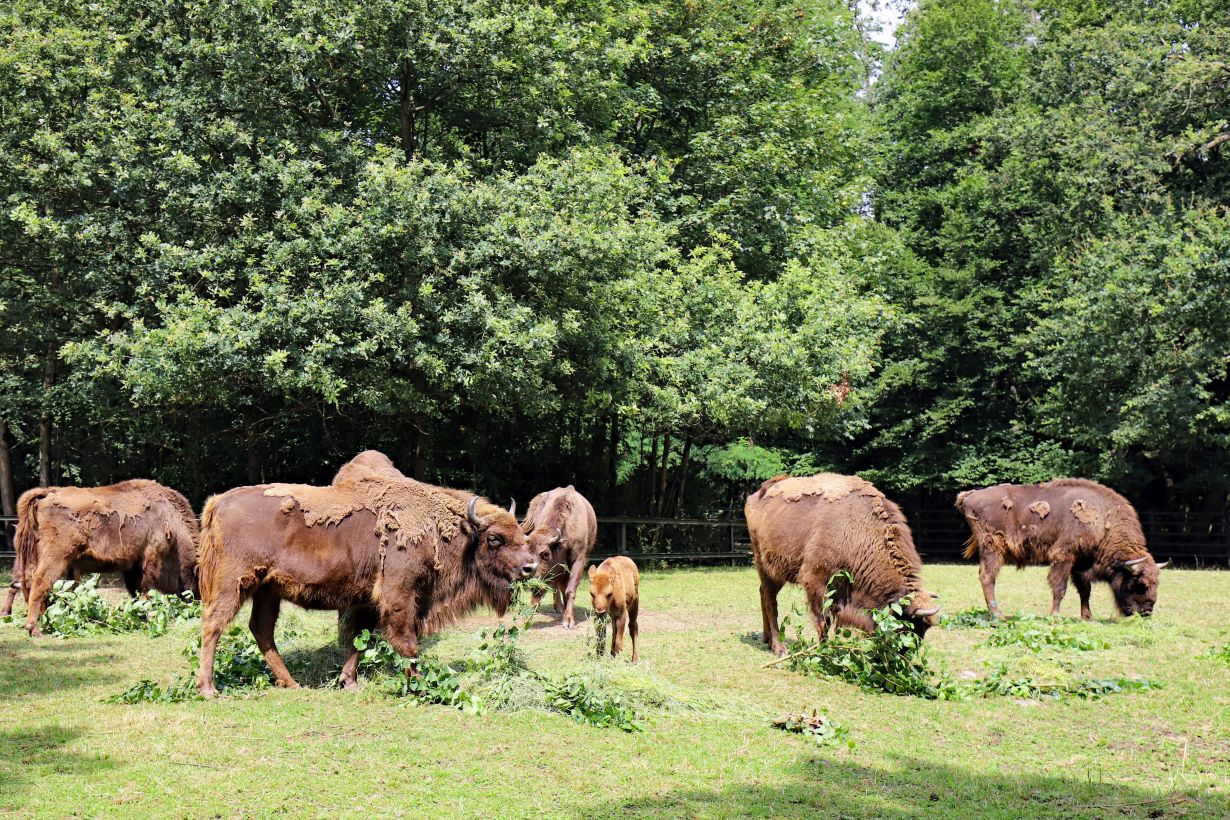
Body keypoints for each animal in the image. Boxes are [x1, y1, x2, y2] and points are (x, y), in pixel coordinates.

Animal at [7, 477, 199, 639]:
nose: (197, 601)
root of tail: (48, 493)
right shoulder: (151, 556)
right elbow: (147, 589)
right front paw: (150, 616)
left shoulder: (132, 565)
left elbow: (135, 591)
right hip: (57, 556)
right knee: (41, 582)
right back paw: (34, 629)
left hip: (32, 555)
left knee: (26, 582)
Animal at [195, 452, 538, 698]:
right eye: (494, 539)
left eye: (520, 533)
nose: (529, 567)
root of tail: (217, 502)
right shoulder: (398, 594)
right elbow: (406, 642)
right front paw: (418, 686)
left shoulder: (366, 601)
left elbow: (359, 641)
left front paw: (348, 682)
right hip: (234, 584)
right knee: (213, 624)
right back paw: (209, 689)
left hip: (268, 590)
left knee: (261, 629)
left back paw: (291, 683)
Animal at [519, 486, 595, 629]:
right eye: (527, 552)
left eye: (545, 554)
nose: (530, 578)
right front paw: (528, 616)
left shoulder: (578, 561)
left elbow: (570, 590)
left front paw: (568, 620)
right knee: (555, 585)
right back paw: (558, 607)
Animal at [954, 477, 1166, 619]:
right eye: (1140, 584)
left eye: (1157, 584)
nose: (1146, 612)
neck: (1103, 517)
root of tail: (969, 496)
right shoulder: (1064, 556)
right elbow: (1060, 587)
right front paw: (1055, 615)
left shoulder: (1081, 563)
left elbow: (1085, 590)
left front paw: (1087, 617)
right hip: (993, 547)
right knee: (988, 577)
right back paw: (999, 615)